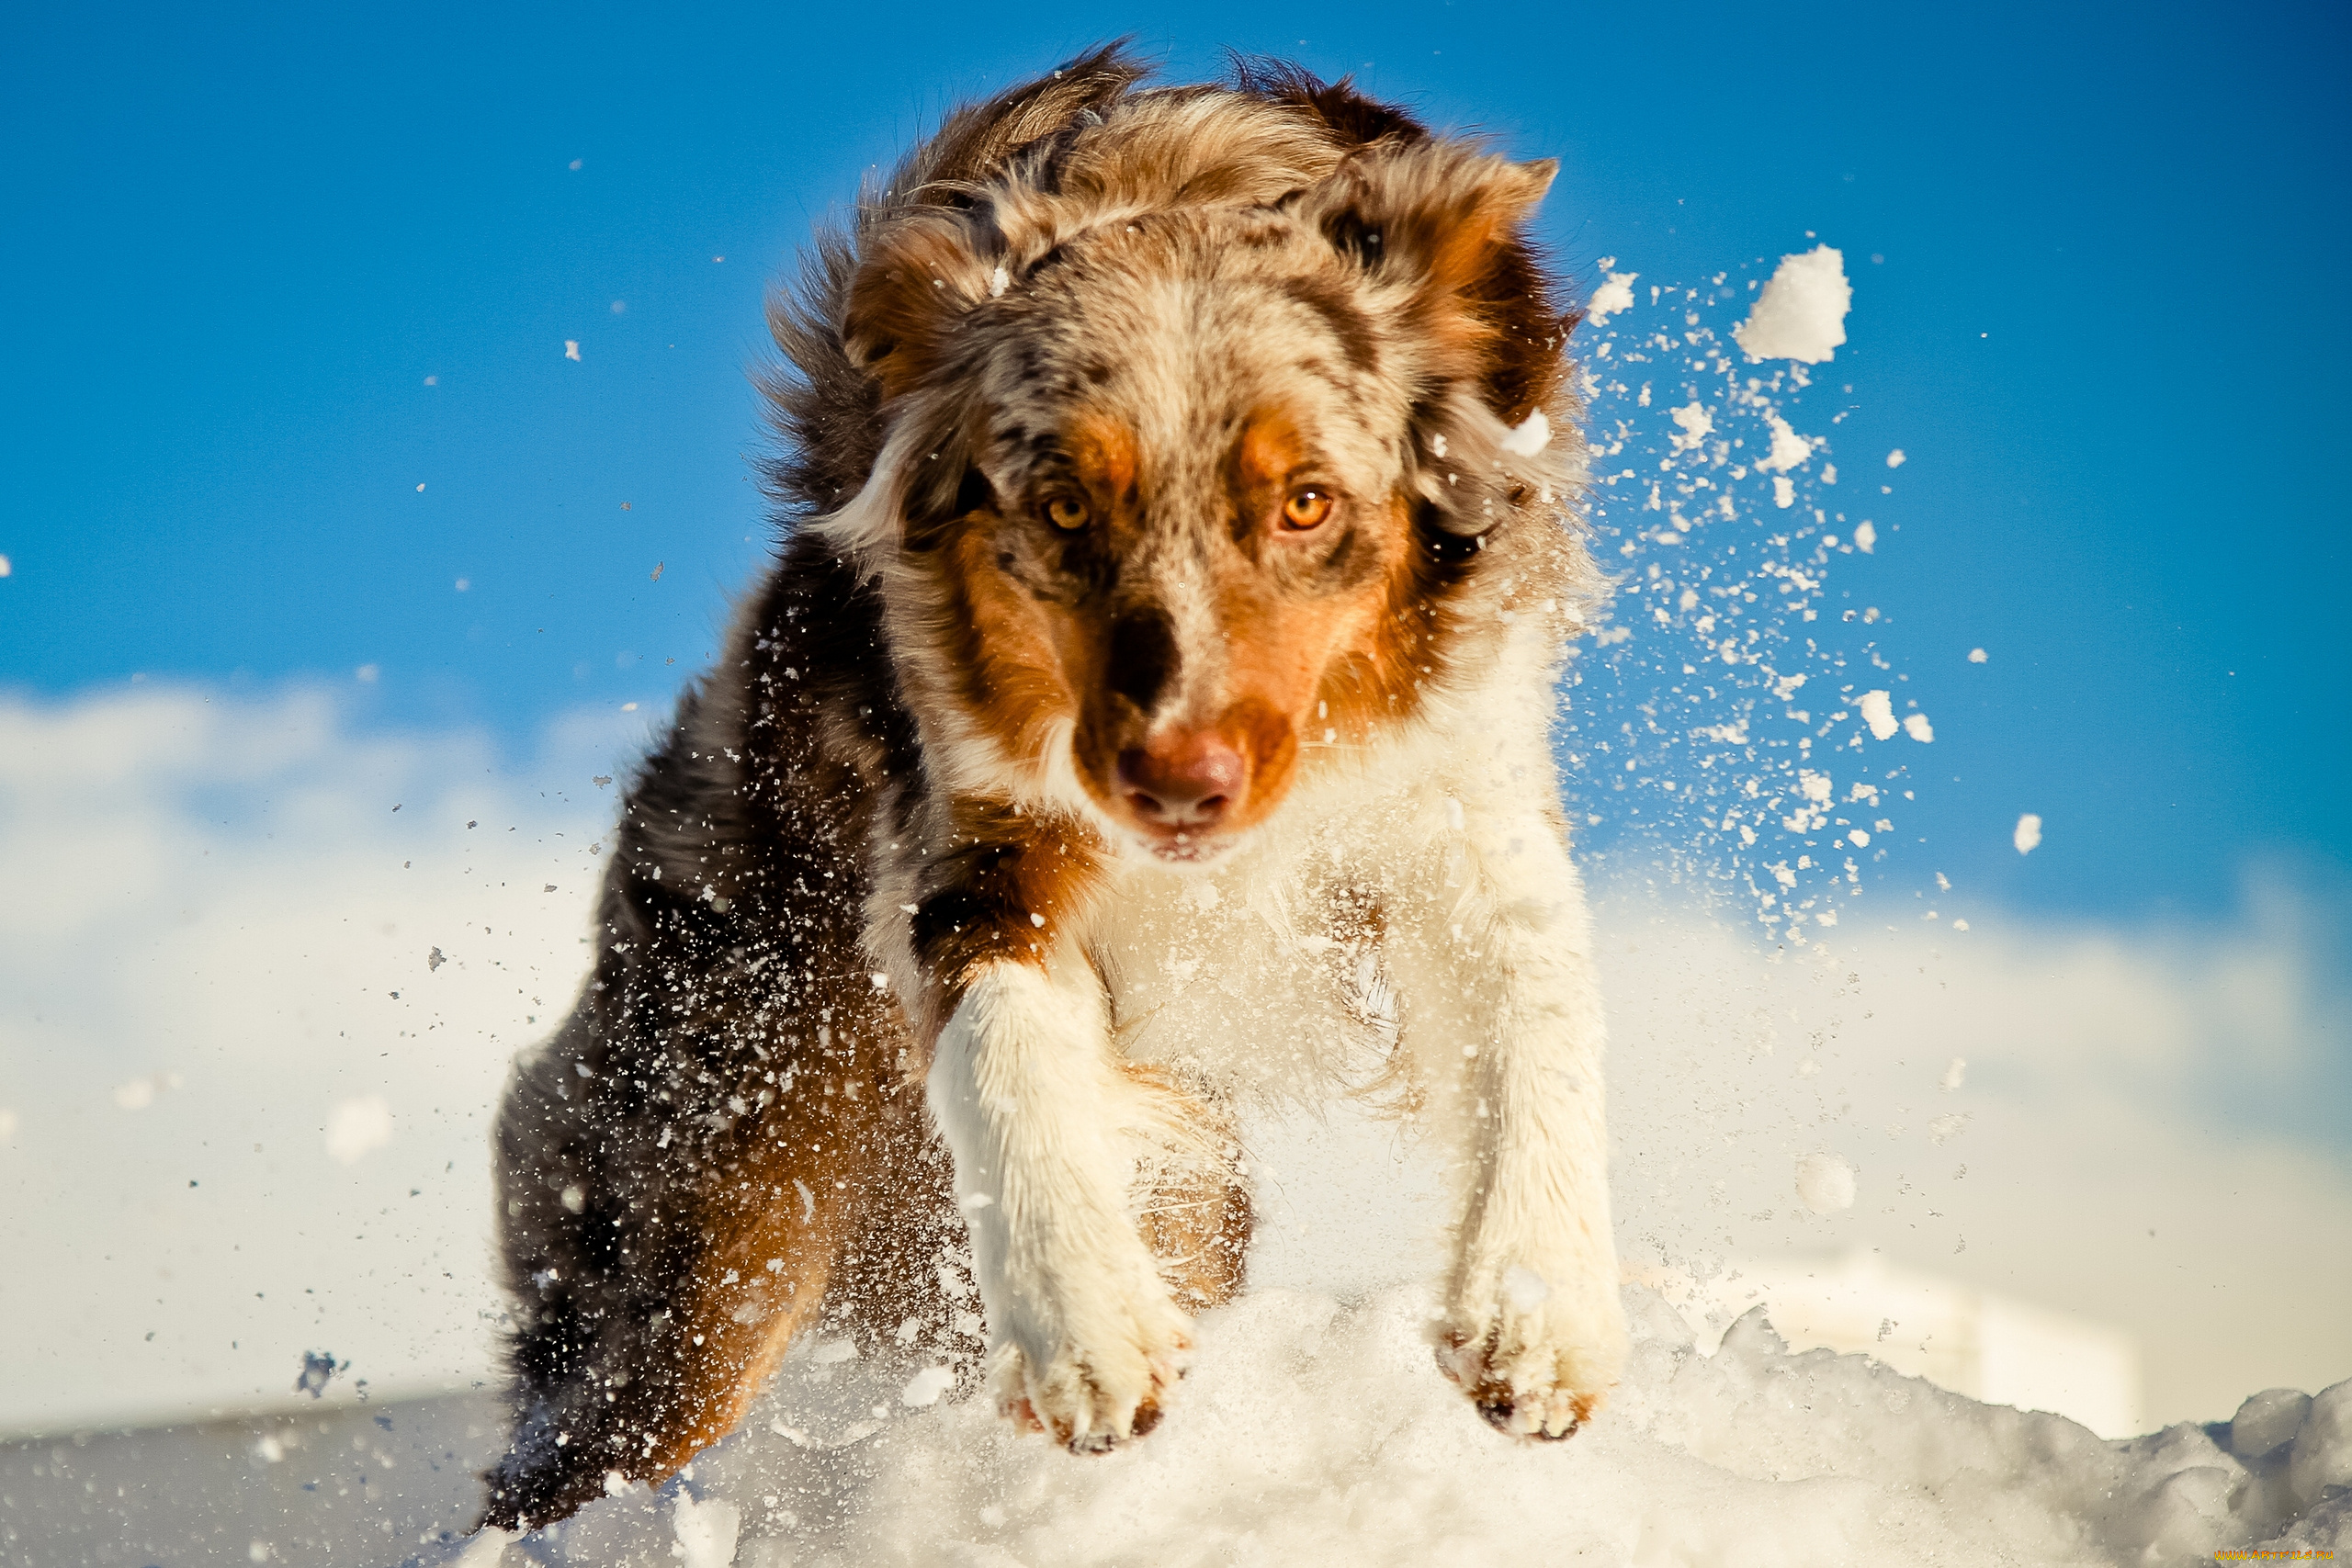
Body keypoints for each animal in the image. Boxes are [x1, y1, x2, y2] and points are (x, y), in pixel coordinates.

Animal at [475, 46, 1618, 1532]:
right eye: (1064, 507)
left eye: (1306, 501)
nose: (1178, 786)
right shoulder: (976, 836)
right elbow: (1005, 1043)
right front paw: (1084, 1326)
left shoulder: (1460, 793)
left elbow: (1535, 1019)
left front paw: (1538, 1318)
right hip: (719, 1201)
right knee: (587, 1435)